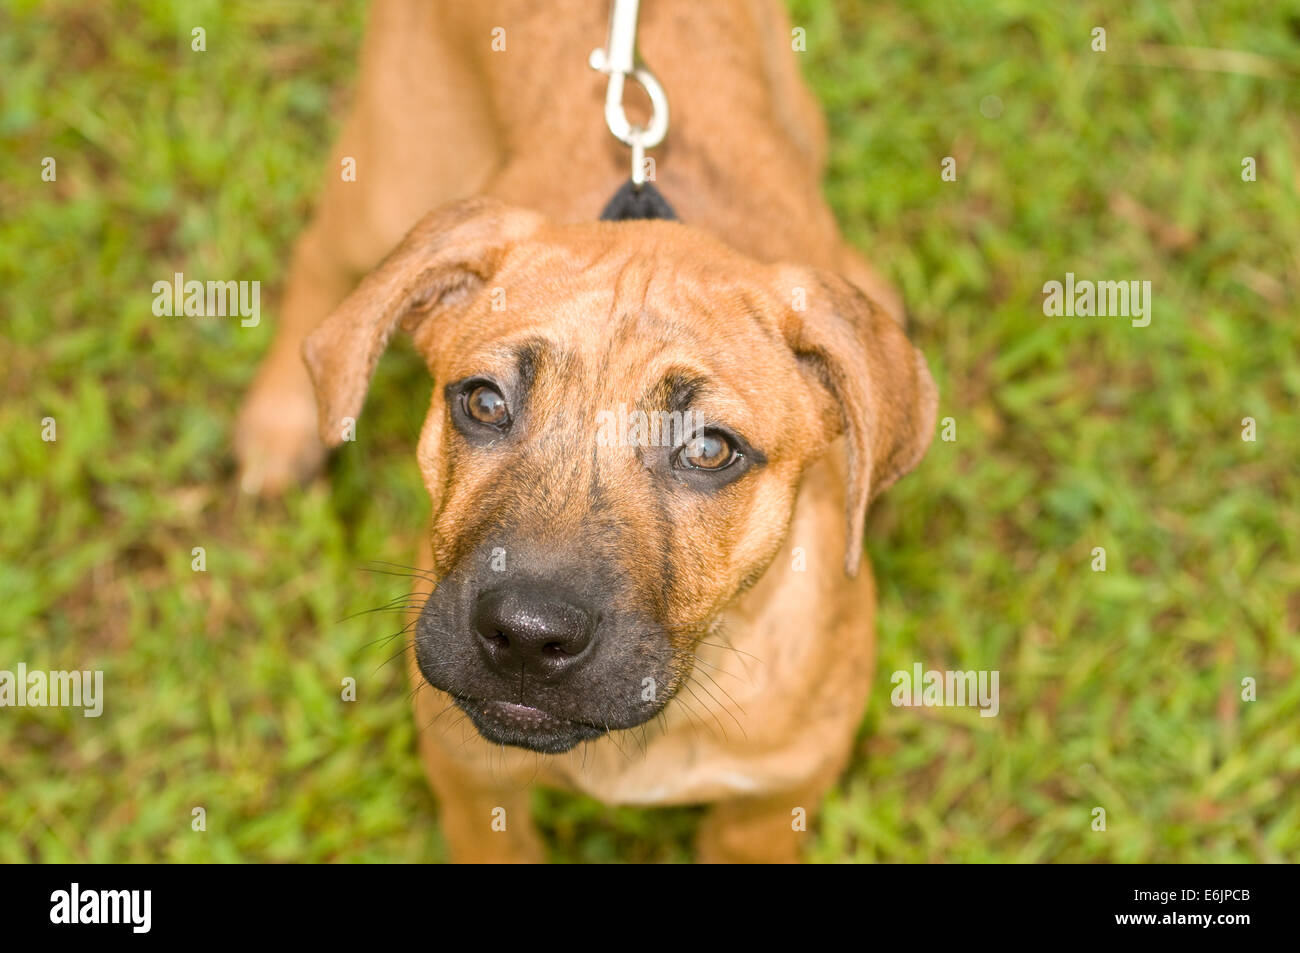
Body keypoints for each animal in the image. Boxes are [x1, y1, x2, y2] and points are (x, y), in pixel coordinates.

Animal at [236, 0, 935, 863]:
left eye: (710, 449)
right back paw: (280, 424)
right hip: (390, 170)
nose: (525, 636)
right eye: (484, 403)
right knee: (322, 267)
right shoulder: (475, 783)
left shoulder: (769, 808)